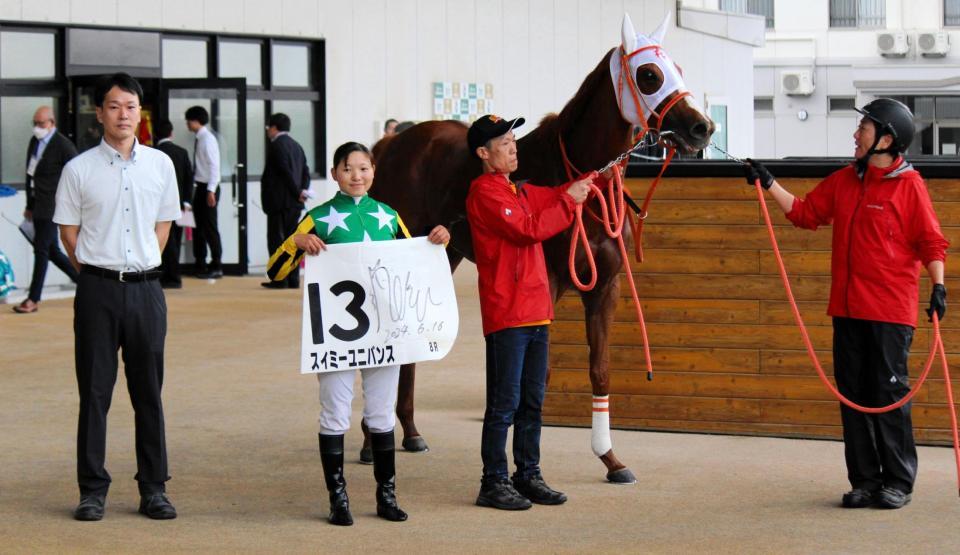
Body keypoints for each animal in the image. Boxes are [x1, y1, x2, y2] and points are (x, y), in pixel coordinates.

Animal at [368, 13, 712, 482]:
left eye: (678, 67)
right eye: (649, 75)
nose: (702, 127)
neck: (579, 183)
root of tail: (393, 144)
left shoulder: (605, 287)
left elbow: (600, 370)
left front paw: (611, 459)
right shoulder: (544, 285)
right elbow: (537, 376)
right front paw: (524, 468)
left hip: (444, 253)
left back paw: (410, 432)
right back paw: (371, 443)